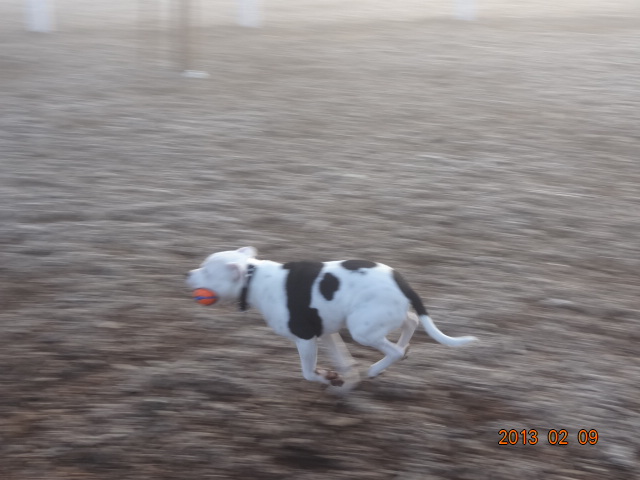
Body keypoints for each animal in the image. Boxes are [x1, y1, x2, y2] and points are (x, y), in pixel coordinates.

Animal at [185, 246, 476, 388]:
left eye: (207, 270)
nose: (188, 273)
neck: (252, 277)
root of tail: (402, 282)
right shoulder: (326, 333)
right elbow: (344, 362)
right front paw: (341, 379)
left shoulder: (305, 338)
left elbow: (307, 372)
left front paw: (327, 378)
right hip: (381, 318)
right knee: (411, 323)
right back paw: (402, 351)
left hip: (362, 330)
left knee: (392, 349)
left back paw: (377, 368)